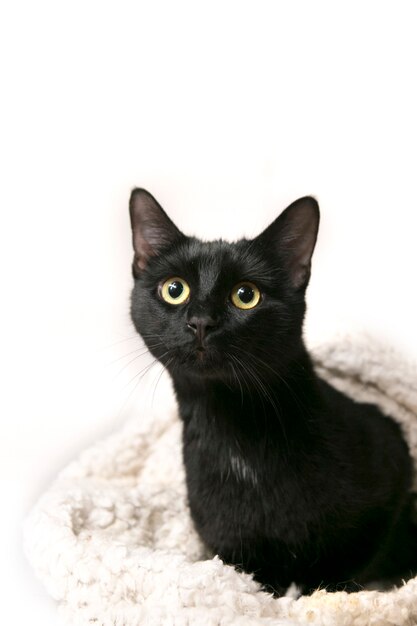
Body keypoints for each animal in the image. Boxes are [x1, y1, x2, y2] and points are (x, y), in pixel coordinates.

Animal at [128, 188, 414, 592]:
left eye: (246, 295)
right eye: (174, 289)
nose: (201, 321)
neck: (234, 430)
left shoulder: (391, 471)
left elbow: (338, 576)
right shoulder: (235, 553)